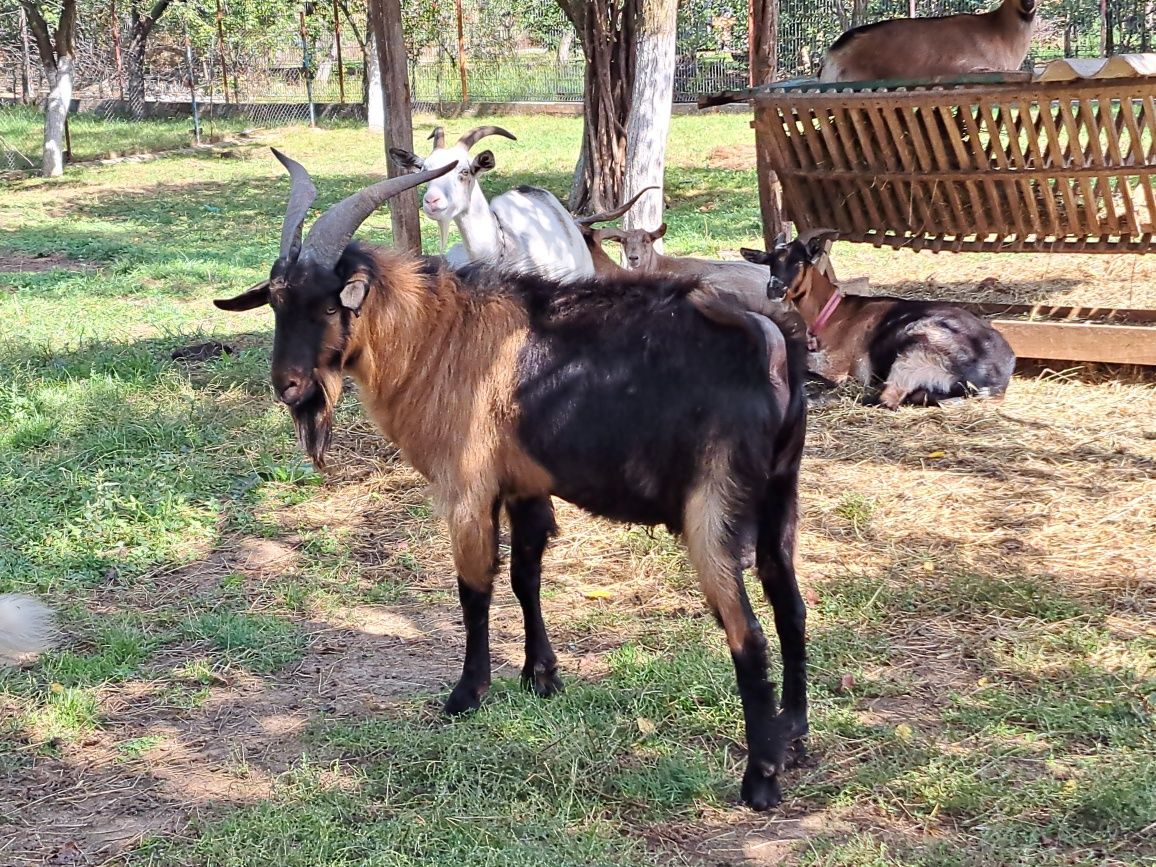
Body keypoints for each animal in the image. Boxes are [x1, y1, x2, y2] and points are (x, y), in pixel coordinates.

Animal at [218, 147, 813, 809]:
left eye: (328, 305)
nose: (288, 386)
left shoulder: (466, 489)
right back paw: (795, 735)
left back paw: (761, 778)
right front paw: (540, 676)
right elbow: (528, 575)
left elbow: (475, 588)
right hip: (780, 495)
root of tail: (772, 348)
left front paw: (467, 693)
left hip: (714, 510)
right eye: (276, 303)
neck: (439, 337)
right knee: (790, 606)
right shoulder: (527, 484)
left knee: (747, 633)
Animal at [739, 228, 1012, 409]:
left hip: (916, 351)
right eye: (770, 262)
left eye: (799, 261)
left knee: (885, 398)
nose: (774, 289)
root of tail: (993, 379)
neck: (835, 312)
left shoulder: (836, 364)